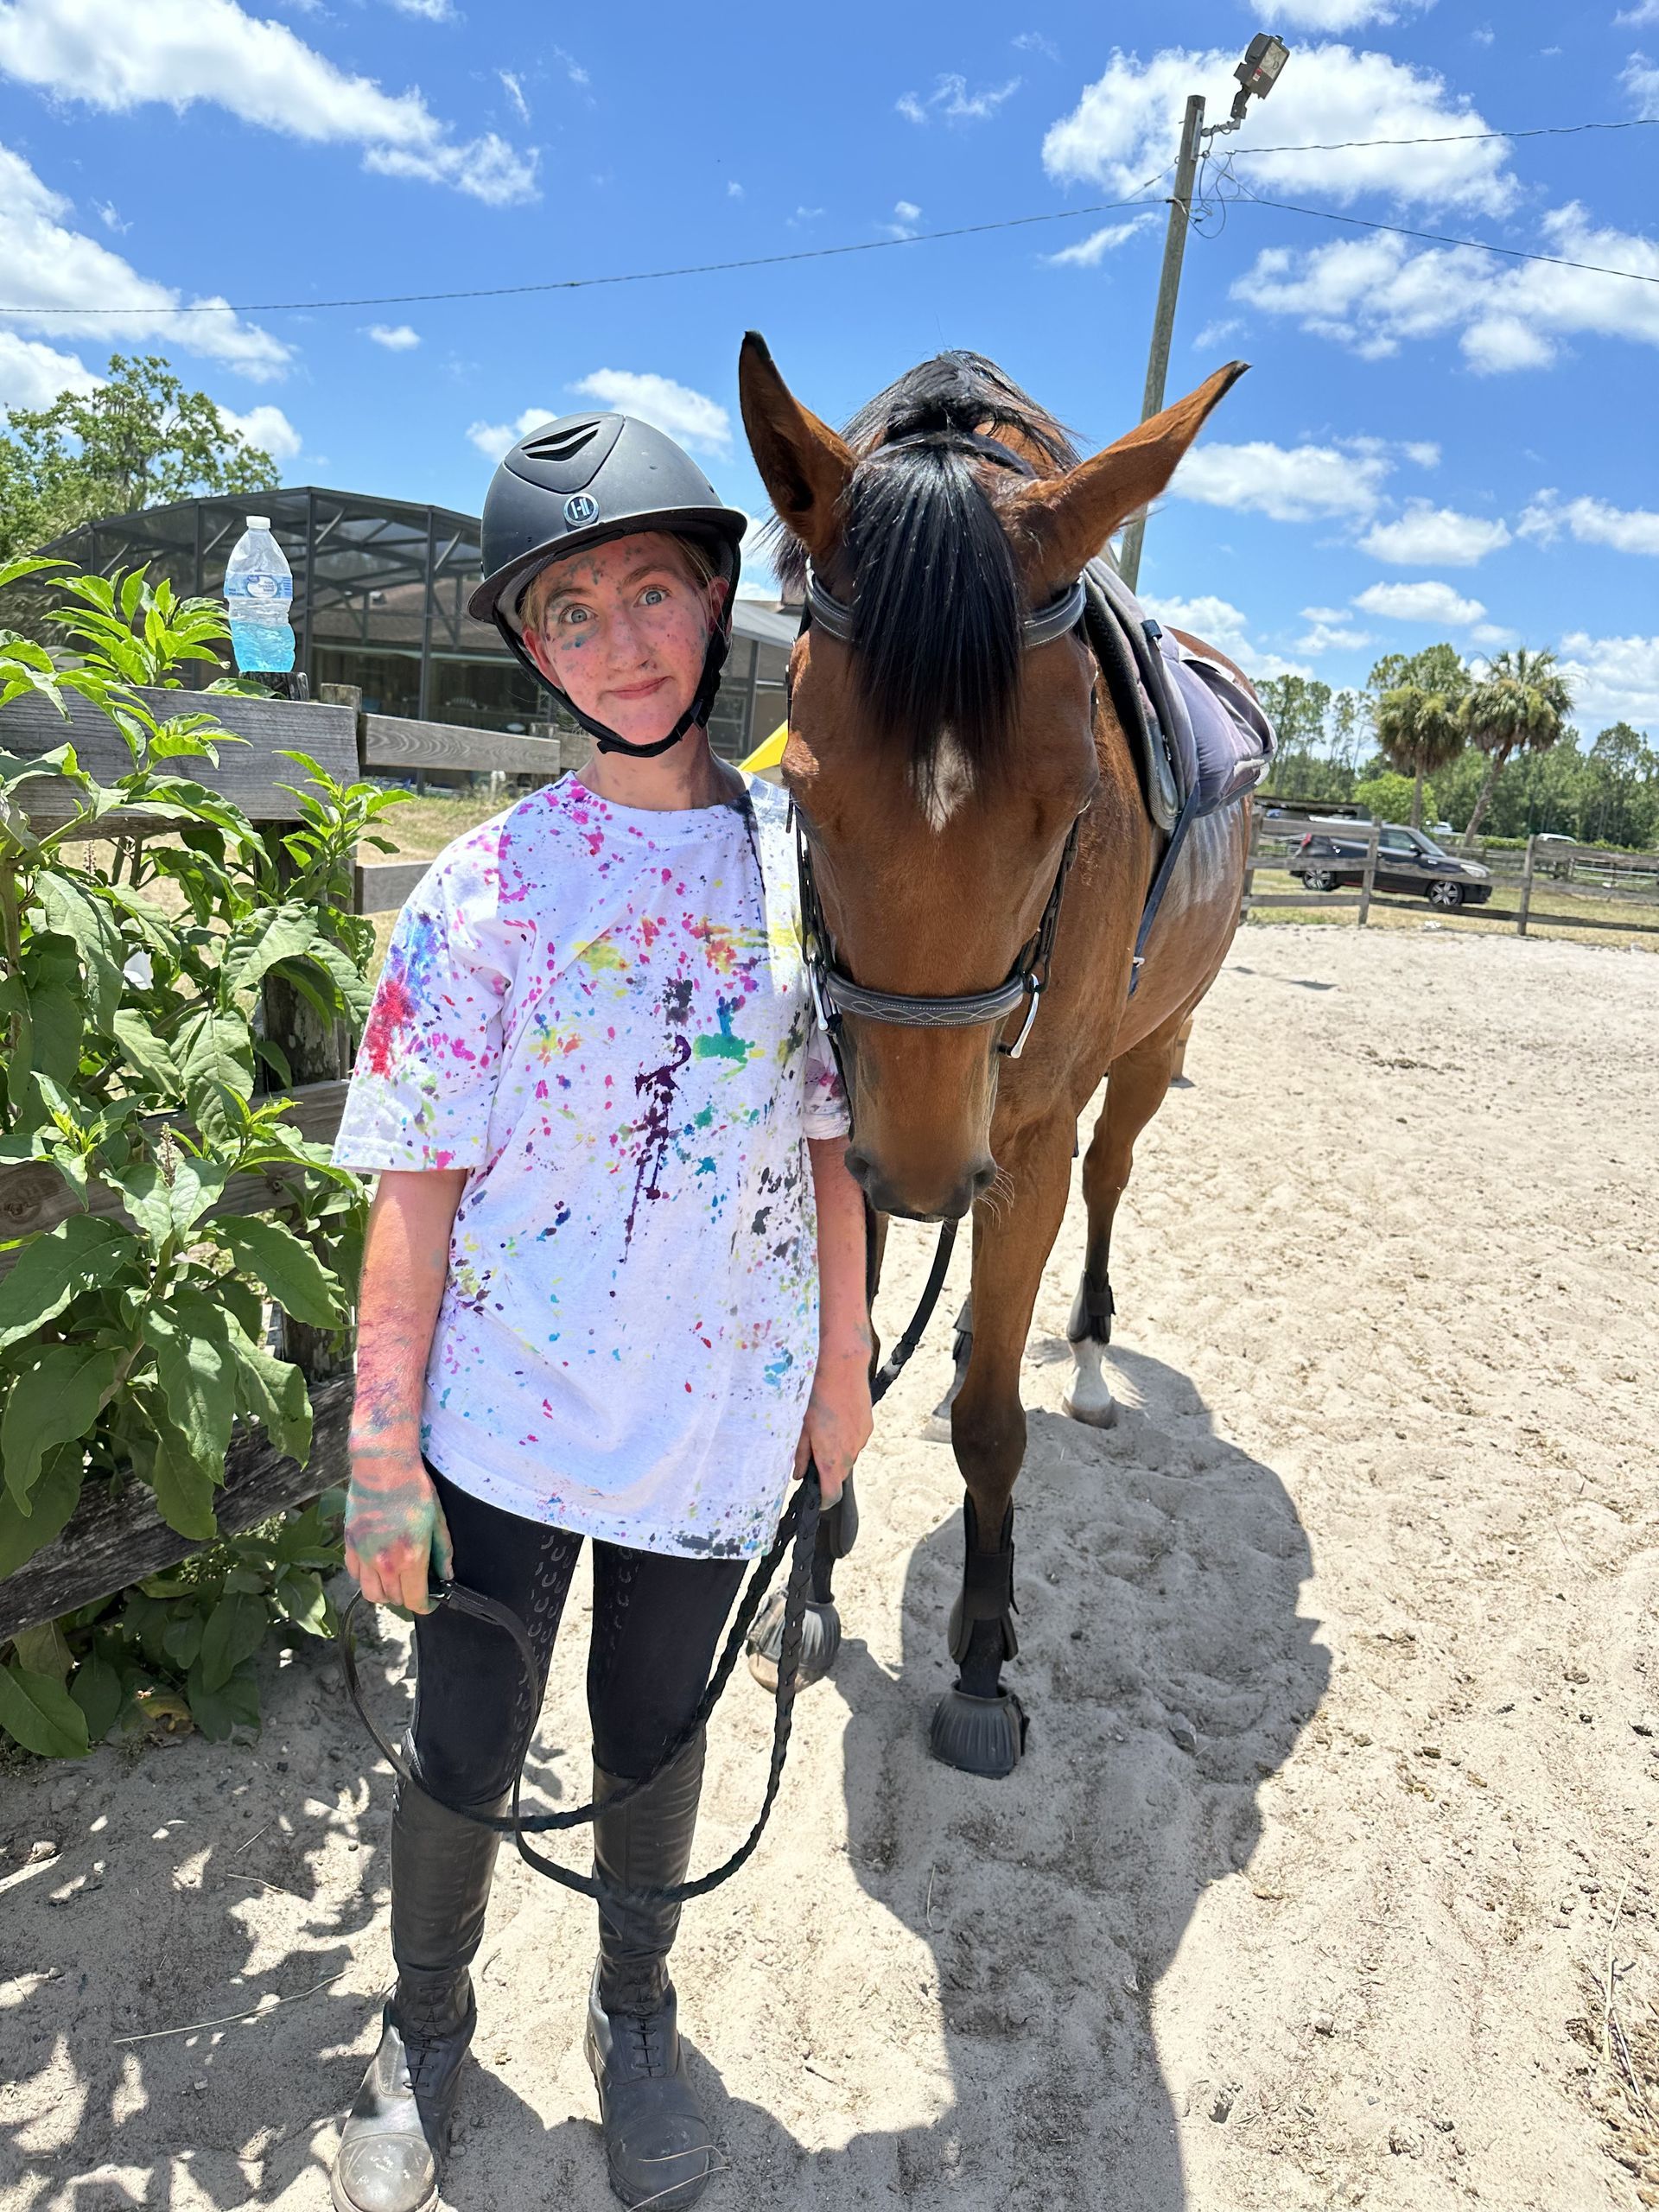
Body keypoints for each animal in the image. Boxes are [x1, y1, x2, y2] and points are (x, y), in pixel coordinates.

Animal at [738, 334, 1260, 1776]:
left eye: (1077, 801)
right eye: (800, 790)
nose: (918, 1173)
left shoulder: (1018, 1136)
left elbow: (989, 1427)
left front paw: (980, 1660)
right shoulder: (852, 1127)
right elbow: (846, 1356)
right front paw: (808, 1585)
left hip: (1145, 1057)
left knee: (1105, 1189)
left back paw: (1080, 1359)